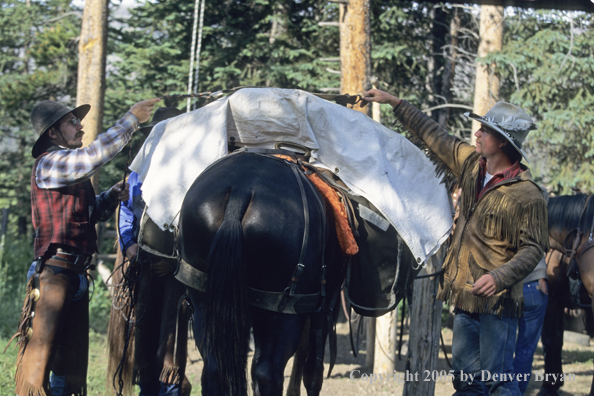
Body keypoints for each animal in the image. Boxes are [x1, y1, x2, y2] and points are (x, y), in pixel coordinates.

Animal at [176, 150, 344, 394]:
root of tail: (241, 192)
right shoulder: (325, 307)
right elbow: (313, 372)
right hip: (281, 315)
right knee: (267, 372)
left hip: (203, 299)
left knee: (214, 367)